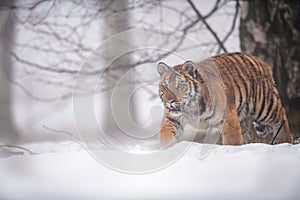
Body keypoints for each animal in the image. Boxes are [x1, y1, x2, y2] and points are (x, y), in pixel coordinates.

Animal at [157, 52, 292, 147]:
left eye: (180, 85)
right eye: (165, 86)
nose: (169, 101)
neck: (191, 108)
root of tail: (261, 61)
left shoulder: (228, 116)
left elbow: (232, 140)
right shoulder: (171, 119)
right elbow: (166, 137)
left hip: (264, 106)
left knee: (282, 118)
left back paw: (283, 143)